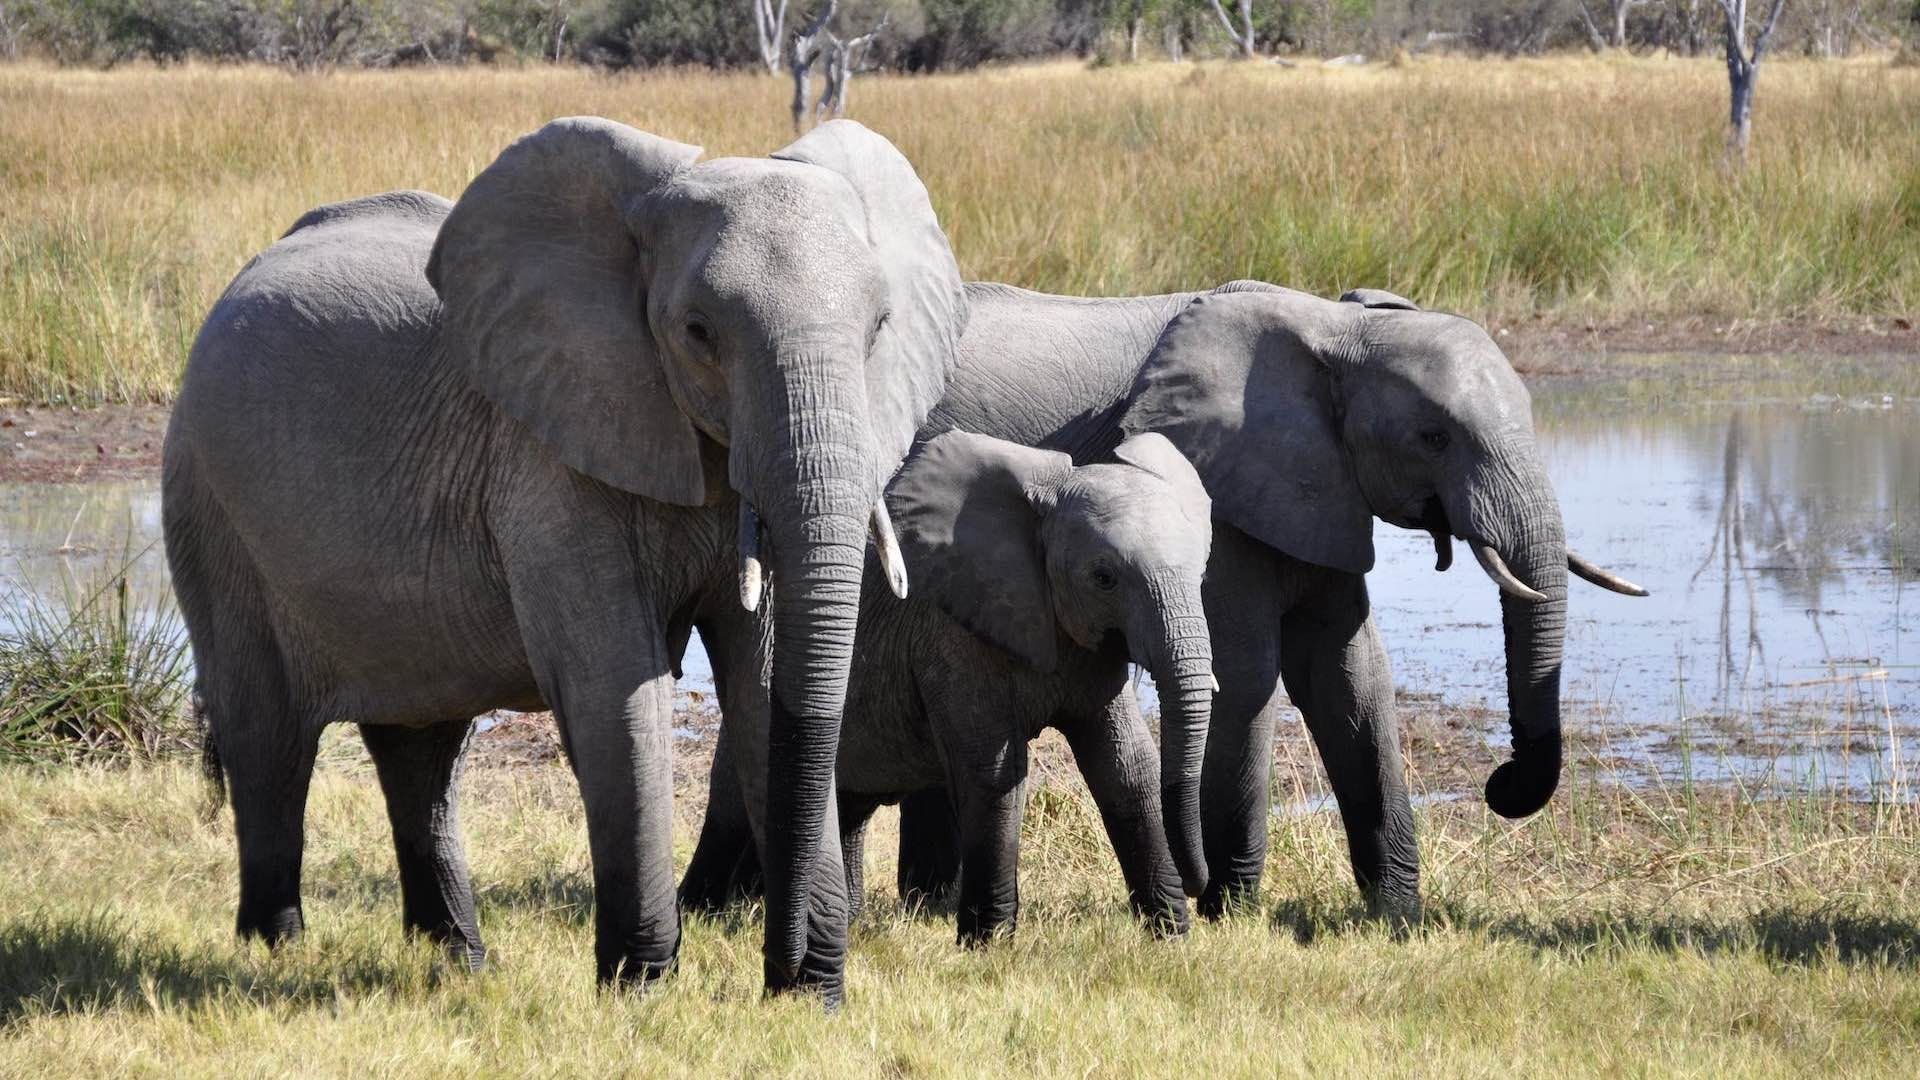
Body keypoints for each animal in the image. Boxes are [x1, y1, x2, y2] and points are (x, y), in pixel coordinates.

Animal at [163, 117, 967, 999]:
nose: (788, 972)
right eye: (698, 333)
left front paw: (808, 997)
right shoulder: (547, 459)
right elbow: (615, 686)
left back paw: (459, 961)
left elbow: (761, 685)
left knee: (422, 749)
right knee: (267, 735)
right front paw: (640, 987)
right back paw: (275, 949)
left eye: (881, 326)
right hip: (208, 502)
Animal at [687, 428, 1213, 941]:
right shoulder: (948, 634)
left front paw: (1171, 936)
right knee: (735, 805)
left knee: (848, 805)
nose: (1199, 884)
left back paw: (840, 920)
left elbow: (1126, 766)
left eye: (1202, 569)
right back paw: (701, 916)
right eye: (1104, 578)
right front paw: (989, 943)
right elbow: (994, 772)